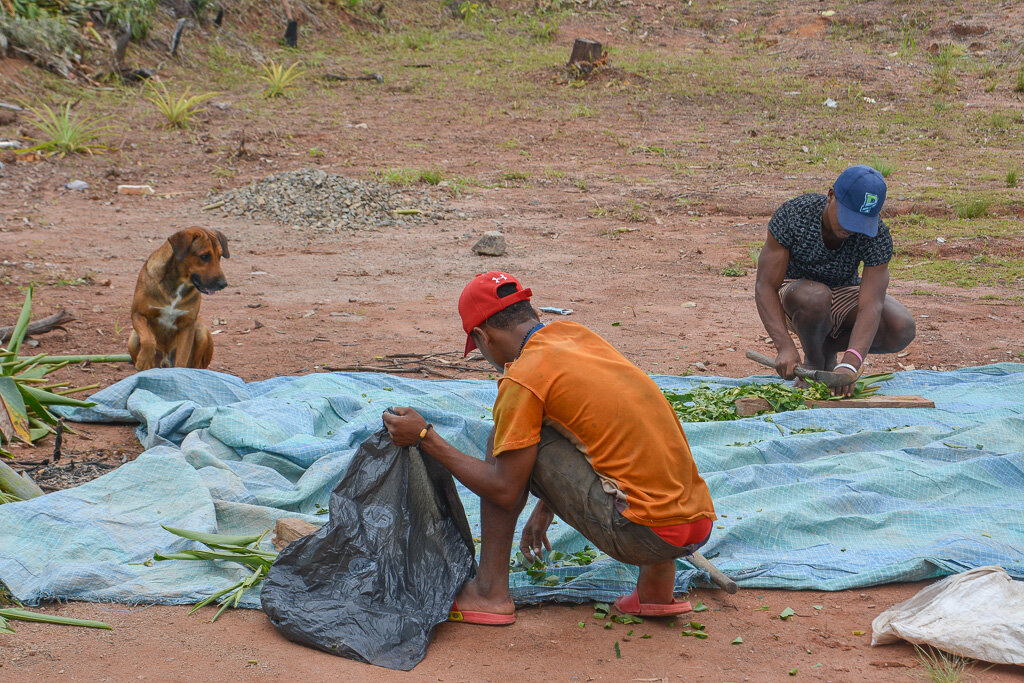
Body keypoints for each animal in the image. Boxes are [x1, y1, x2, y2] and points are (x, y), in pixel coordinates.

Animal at [128, 228, 230, 368]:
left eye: (220, 256)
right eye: (204, 256)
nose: (223, 284)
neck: (178, 285)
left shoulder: (186, 325)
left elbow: (181, 359)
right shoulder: (138, 314)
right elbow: (148, 339)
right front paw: (144, 359)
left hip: (201, 330)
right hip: (132, 338)